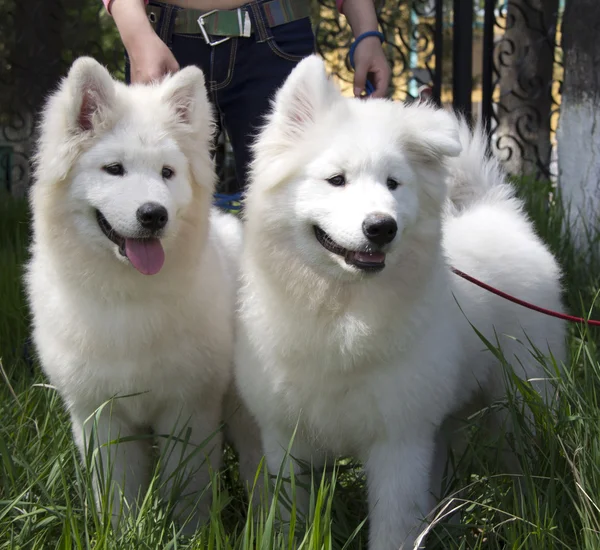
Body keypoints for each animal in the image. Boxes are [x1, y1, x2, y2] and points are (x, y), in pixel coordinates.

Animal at [26, 59, 260, 536]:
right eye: (114, 169)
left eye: (167, 173)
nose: (154, 215)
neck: (127, 296)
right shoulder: (101, 417)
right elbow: (117, 493)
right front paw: (123, 533)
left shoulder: (187, 409)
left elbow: (188, 490)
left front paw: (189, 536)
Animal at [234, 57, 568, 550]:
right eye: (336, 180)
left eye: (394, 184)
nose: (381, 227)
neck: (341, 312)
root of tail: (502, 217)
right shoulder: (284, 438)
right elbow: (288, 519)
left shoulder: (399, 442)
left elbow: (393, 525)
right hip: (451, 420)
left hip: (520, 405)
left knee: (524, 467)